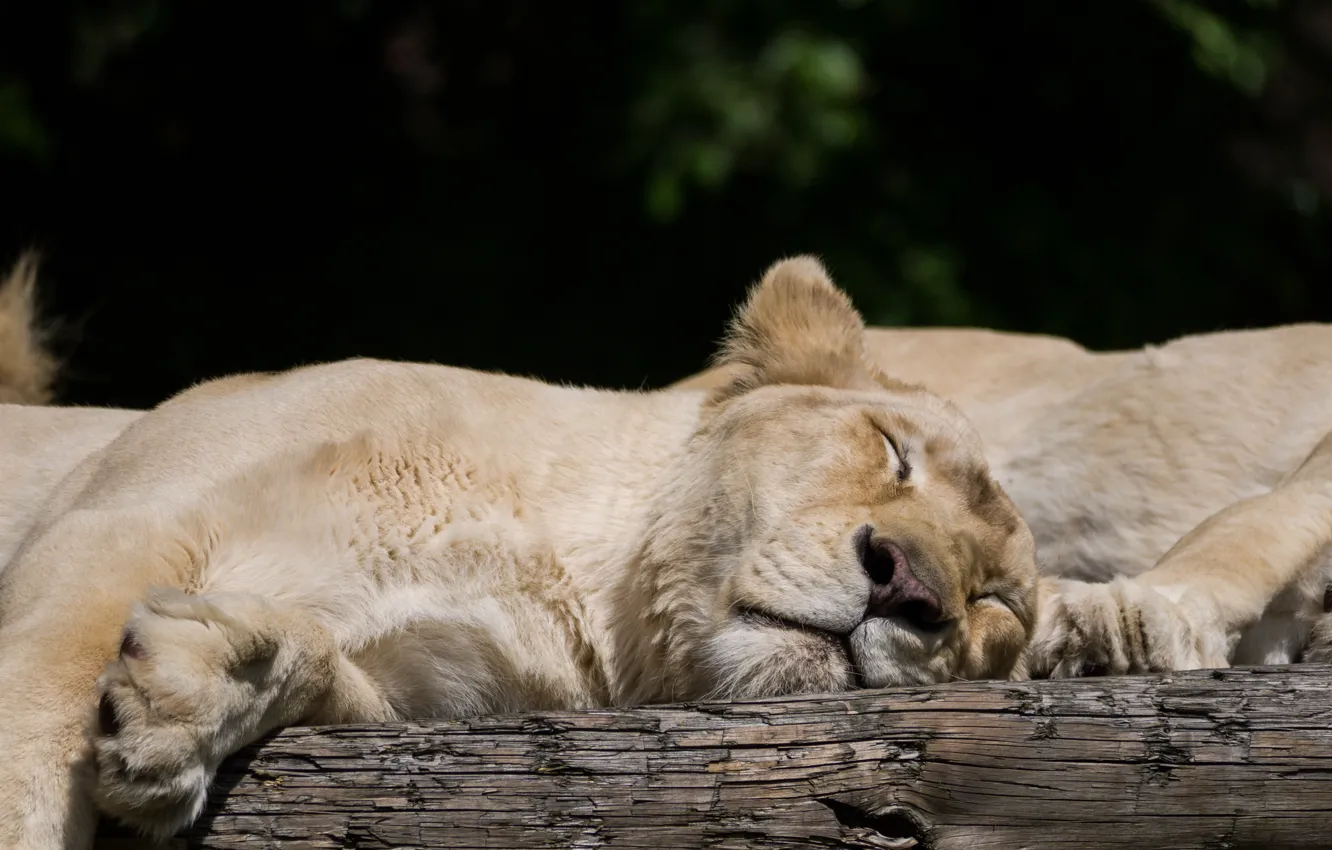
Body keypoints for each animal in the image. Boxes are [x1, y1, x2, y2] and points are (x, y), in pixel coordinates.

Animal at [0, 256, 1037, 848]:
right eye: (891, 450)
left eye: (998, 605)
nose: (908, 589)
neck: (556, 551)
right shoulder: (112, 520)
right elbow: (32, 729)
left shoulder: (438, 686)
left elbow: (324, 669)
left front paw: (192, 690)